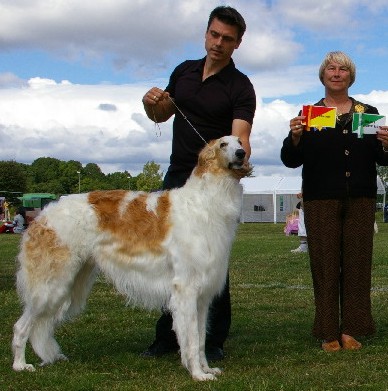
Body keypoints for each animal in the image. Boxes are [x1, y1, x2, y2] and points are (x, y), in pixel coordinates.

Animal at [12, 136, 252, 382]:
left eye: (240, 142)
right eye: (223, 144)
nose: (241, 153)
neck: (204, 202)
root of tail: (42, 216)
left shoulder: (202, 296)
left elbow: (201, 339)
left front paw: (206, 369)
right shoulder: (185, 289)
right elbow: (192, 340)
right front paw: (197, 374)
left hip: (71, 281)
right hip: (51, 285)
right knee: (20, 326)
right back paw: (20, 365)